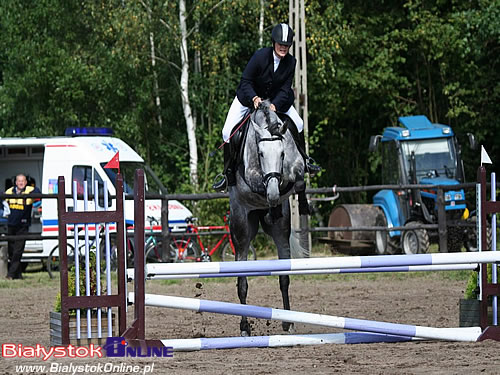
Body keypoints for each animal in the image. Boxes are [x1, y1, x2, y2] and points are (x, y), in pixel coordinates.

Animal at [229, 100, 306, 338]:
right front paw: (270, 196)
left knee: (284, 278)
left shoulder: (294, 164)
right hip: (241, 231)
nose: (272, 196)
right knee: (242, 282)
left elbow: (297, 177)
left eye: (281, 154)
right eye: (261, 154)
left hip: (281, 233)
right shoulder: (251, 176)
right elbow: (259, 183)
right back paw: (244, 327)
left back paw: (288, 322)